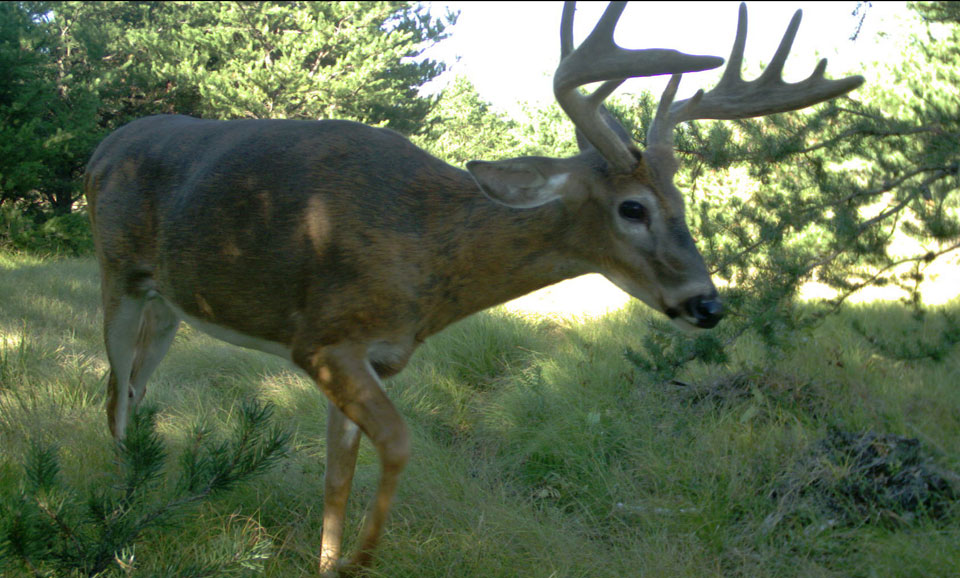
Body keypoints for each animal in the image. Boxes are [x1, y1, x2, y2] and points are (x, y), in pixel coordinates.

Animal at [84, 2, 864, 572]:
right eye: (632, 208)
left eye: (682, 202)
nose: (707, 303)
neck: (429, 257)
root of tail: (101, 149)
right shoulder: (321, 339)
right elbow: (399, 443)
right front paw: (359, 561)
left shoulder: (373, 354)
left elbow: (337, 474)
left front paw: (329, 562)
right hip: (115, 270)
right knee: (113, 393)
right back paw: (120, 514)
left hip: (171, 303)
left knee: (137, 386)